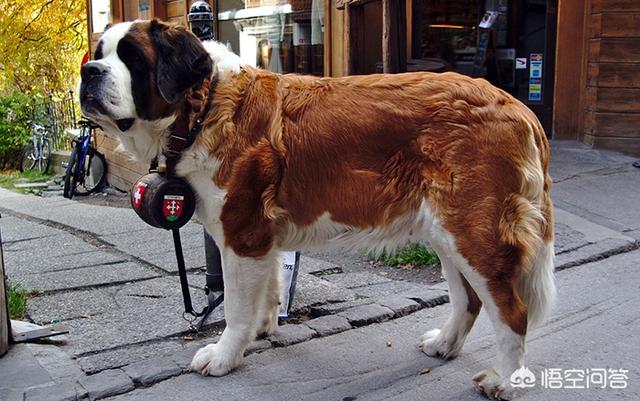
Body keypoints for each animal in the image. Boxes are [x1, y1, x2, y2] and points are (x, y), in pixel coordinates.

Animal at [79, 20, 556, 398]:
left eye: (132, 58)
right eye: (99, 55)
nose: (88, 71)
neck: (205, 105)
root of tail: (516, 105)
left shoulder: (242, 232)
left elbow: (234, 307)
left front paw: (224, 355)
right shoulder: (261, 237)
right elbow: (268, 288)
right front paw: (264, 328)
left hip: (472, 232)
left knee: (512, 311)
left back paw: (506, 382)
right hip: (448, 233)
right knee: (468, 299)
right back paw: (444, 344)